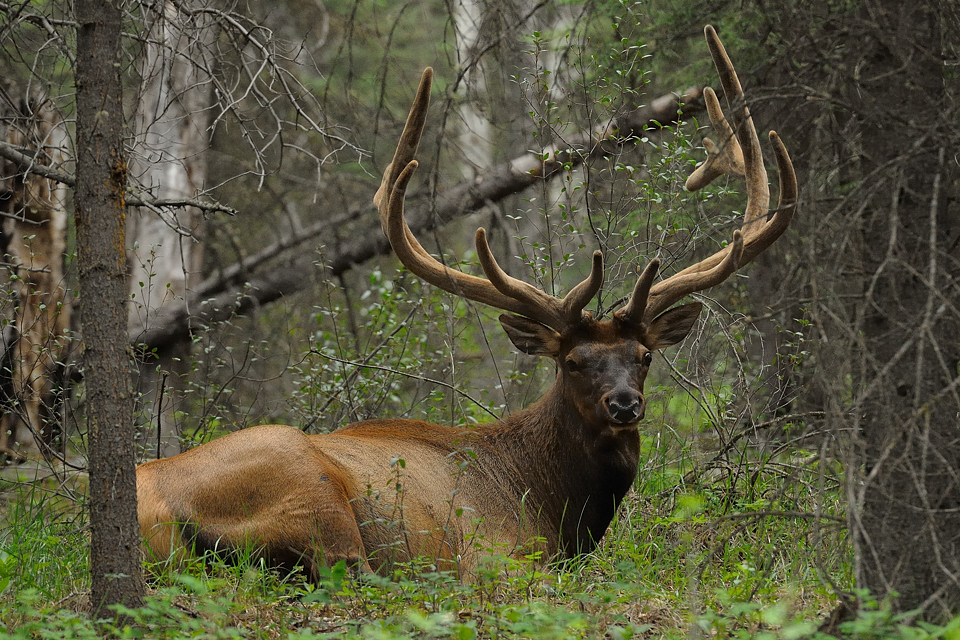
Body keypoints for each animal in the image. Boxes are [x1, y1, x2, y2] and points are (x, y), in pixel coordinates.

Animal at [136, 25, 796, 580]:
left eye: (644, 356)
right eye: (572, 361)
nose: (625, 403)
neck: (554, 507)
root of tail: (154, 511)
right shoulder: (498, 555)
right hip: (308, 489)